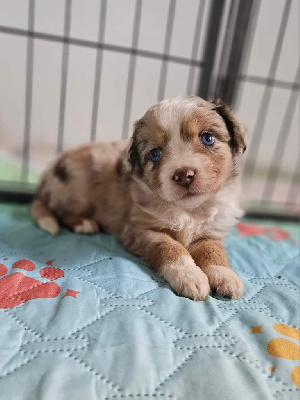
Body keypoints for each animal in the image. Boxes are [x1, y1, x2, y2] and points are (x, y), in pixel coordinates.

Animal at [31, 96, 246, 300]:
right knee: (60, 211)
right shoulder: (141, 229)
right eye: (155, 154)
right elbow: (170, 246)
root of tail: (46, 179)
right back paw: (84, 223)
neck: (188, 210)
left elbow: (214, 251)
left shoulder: (211, 232)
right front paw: (190, 276)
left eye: (207, 138)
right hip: (78, 189)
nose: (184, 175)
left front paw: (226, 276)